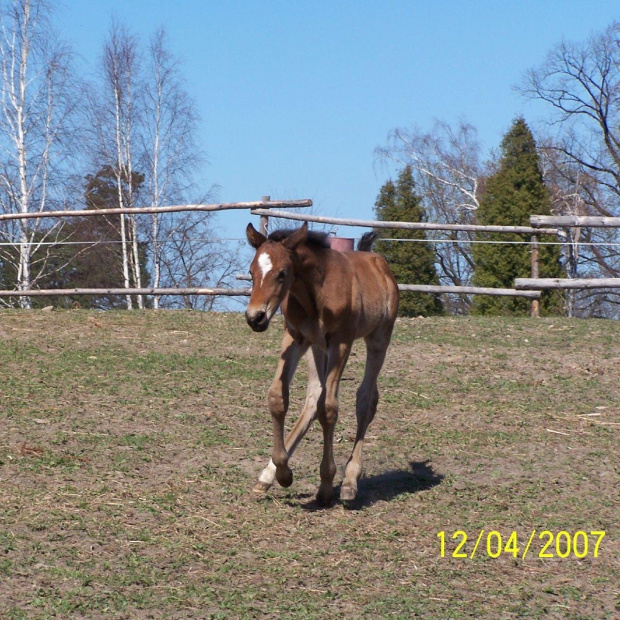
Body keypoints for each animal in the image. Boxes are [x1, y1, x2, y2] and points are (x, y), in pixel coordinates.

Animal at [245, 223, 400, 504]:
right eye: (252, 272)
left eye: (283, 273)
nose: (255, 317)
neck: (314, 294)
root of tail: (377, 260)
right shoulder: (295, 337)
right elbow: (278, 397)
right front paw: (282, 473)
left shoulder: (340, 342)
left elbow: (330, 408)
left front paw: (327, 484)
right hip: (316, 348)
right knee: (313, 400)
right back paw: (268, 476)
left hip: (379, 338)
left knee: (365, 400)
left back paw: (350, 481)